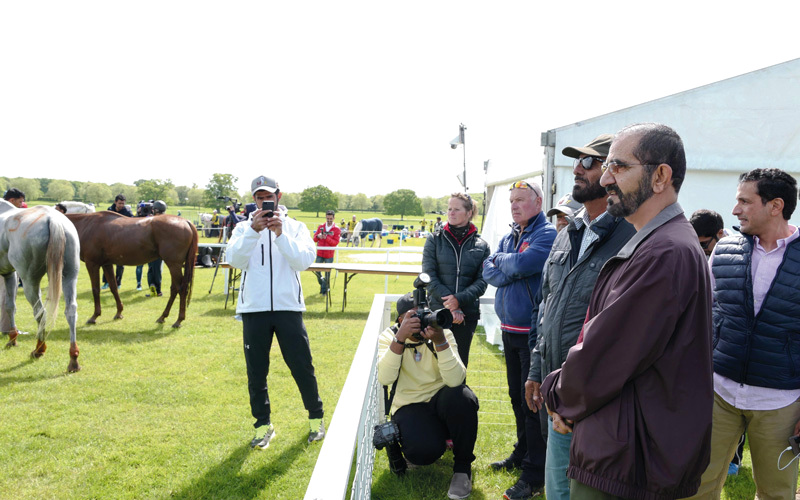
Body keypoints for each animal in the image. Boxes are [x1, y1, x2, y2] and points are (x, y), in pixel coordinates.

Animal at [0, 200, 81, 372]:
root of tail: (53, 219)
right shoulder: (9, 273)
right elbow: (10, 306)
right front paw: (12, 338)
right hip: (69, 275)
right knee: (71, 310)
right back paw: (73, 358)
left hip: (30, 281)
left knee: (40, 312)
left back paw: (39, 349)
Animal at [67, 212, 198, 326]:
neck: (87, 226)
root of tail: (186, 222)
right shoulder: (107, 264)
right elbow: (113, 287)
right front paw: (119, 312)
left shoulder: (92, 264)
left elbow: (95, 290)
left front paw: (94, 316)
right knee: (175, 289)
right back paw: (163, 317)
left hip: (174, 265)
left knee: (181, 289)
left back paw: (178, 320)